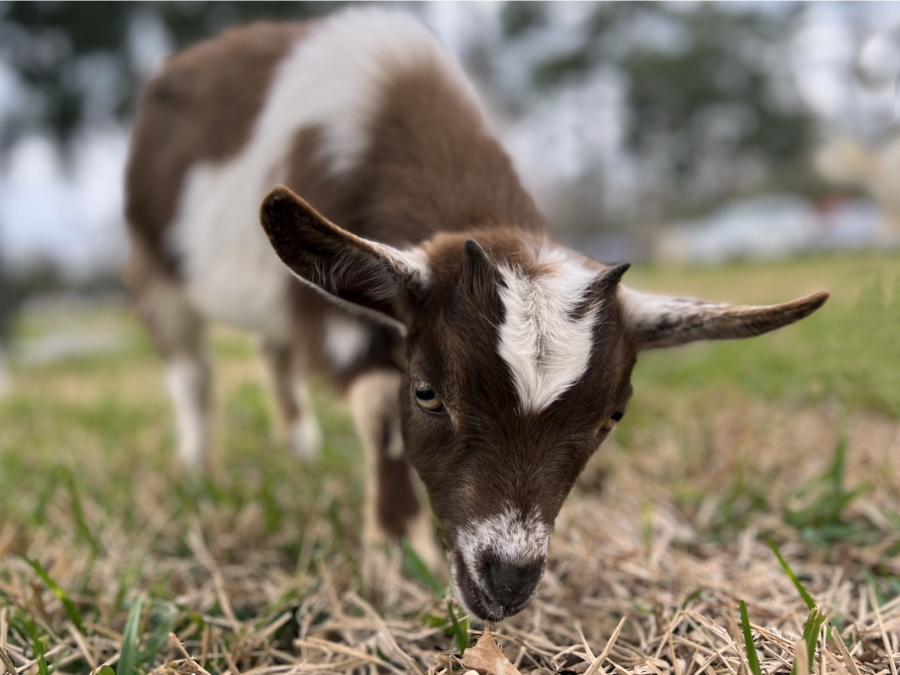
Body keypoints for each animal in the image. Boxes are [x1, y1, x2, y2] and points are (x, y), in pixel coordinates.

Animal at [125, 9, 828, 624]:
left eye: (614, 416)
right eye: (427, 394)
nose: (507, 581)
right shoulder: (329, 316)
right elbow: (376, 406)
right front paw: (396, 551)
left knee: (272, 357)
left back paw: (300, 450)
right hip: (154, 265)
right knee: (192, 371)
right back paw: (199, 469)